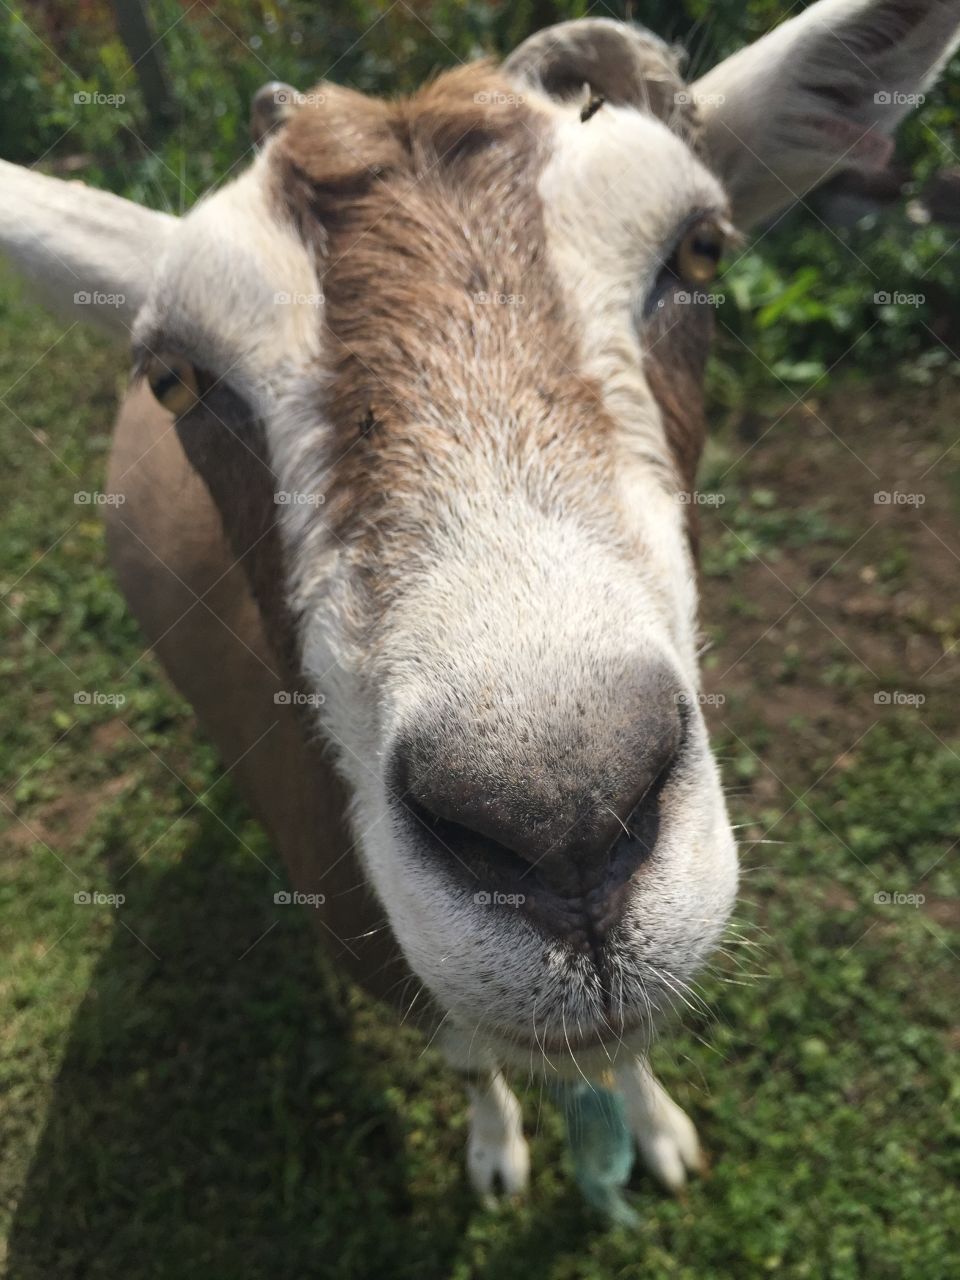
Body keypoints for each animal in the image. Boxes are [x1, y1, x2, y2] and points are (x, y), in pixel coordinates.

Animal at [3, 0, 957, 1198]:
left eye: (699, 247)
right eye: (175, 376)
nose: (561, 824)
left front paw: (653, 1134)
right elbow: (466, 1054)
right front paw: (497, 1153)